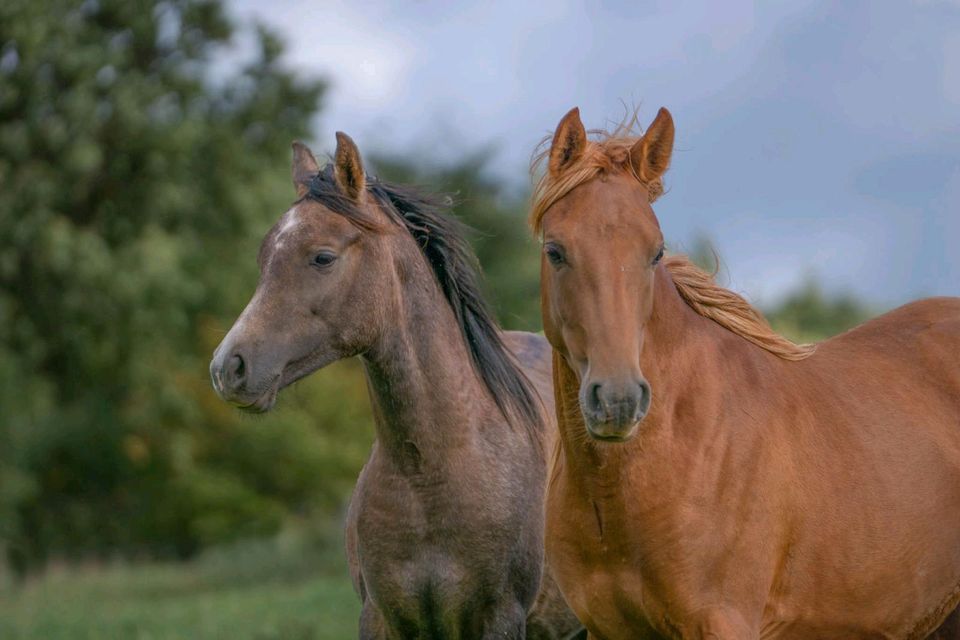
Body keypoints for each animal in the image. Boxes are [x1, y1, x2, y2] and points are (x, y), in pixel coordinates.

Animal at [211, 132, 580, 636]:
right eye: (265, 256)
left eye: (322, 257)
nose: (228, 368)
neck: (430, 476)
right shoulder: (382, 617)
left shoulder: (501, 618)